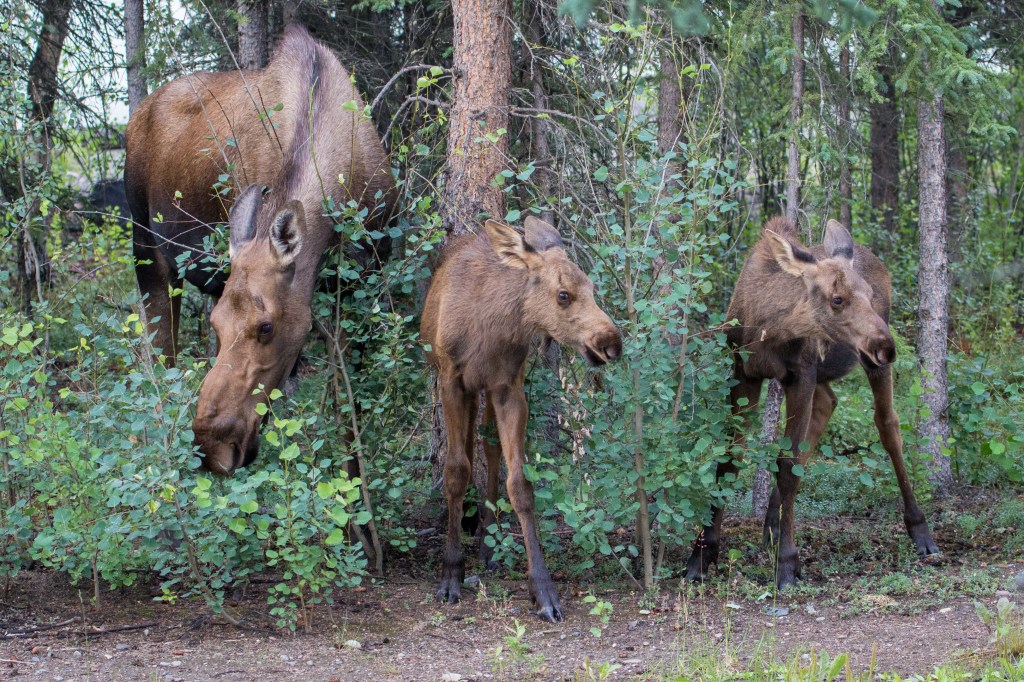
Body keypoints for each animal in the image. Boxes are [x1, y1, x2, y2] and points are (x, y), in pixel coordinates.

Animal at [124, 25, 395, 474]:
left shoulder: (365, 287)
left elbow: (348, 418)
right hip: (146, 251)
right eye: (216, 324)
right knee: (162, 361)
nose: (211, 447)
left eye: (266, 327)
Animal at [421, 217, 623, 622]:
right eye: (563, 295)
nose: (611, 343)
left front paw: (543, 591)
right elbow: (455, 472)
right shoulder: (452, 379)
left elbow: (520, 484)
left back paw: (488, 544)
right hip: (463, 386)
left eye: (592, 288)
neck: (489, 327)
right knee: (469, 451)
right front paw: (451, 574)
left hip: (487, 391)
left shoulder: (508, 387)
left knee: (488, 445)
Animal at [684, 216, 939, 589]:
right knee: (828, 406)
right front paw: (701, 556)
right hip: (825, 376)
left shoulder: (800, 374)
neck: (768, 331)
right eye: (837, 299)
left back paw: (920, 530)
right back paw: (773, 526)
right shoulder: (744, 373)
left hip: (862, 367)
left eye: (870, 296)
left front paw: (787, 564)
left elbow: (788, 464)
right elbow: (730, 461)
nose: (887, 347)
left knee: (888, 425)